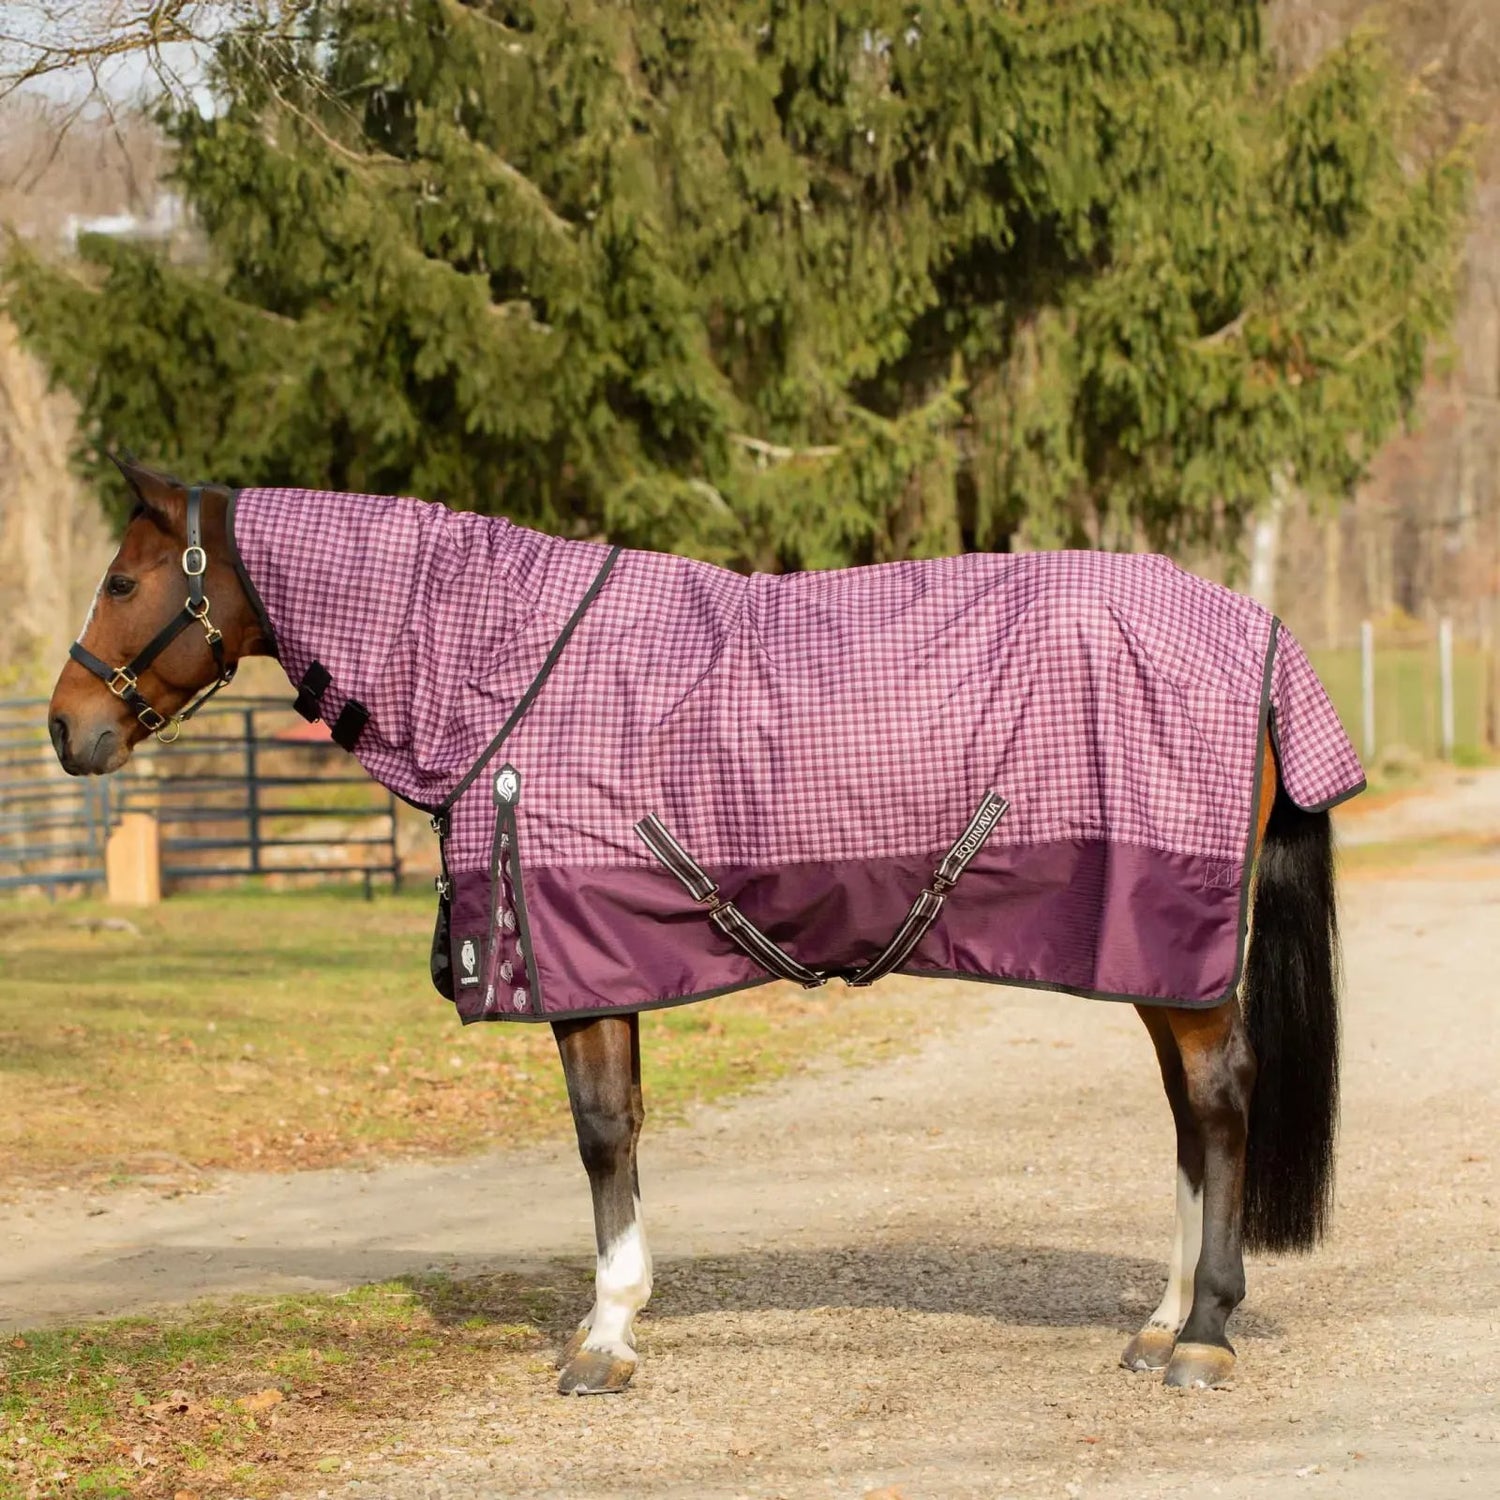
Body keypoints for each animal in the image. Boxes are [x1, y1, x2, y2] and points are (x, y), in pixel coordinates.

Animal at [48, 459, 1354, 1395]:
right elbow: (622, 1129)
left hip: (1172, 949)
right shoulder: (603, 965)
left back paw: (1206, 1333)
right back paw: (1161, 1322)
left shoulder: (575, 965)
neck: (508, 671)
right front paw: (618, 1321)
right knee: (1189, 1115)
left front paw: (603, 1337)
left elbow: (599, 1136)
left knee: (1222, 1101)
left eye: (120, 583)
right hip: (1153, 957)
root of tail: (1264, 638)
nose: (66, 729)